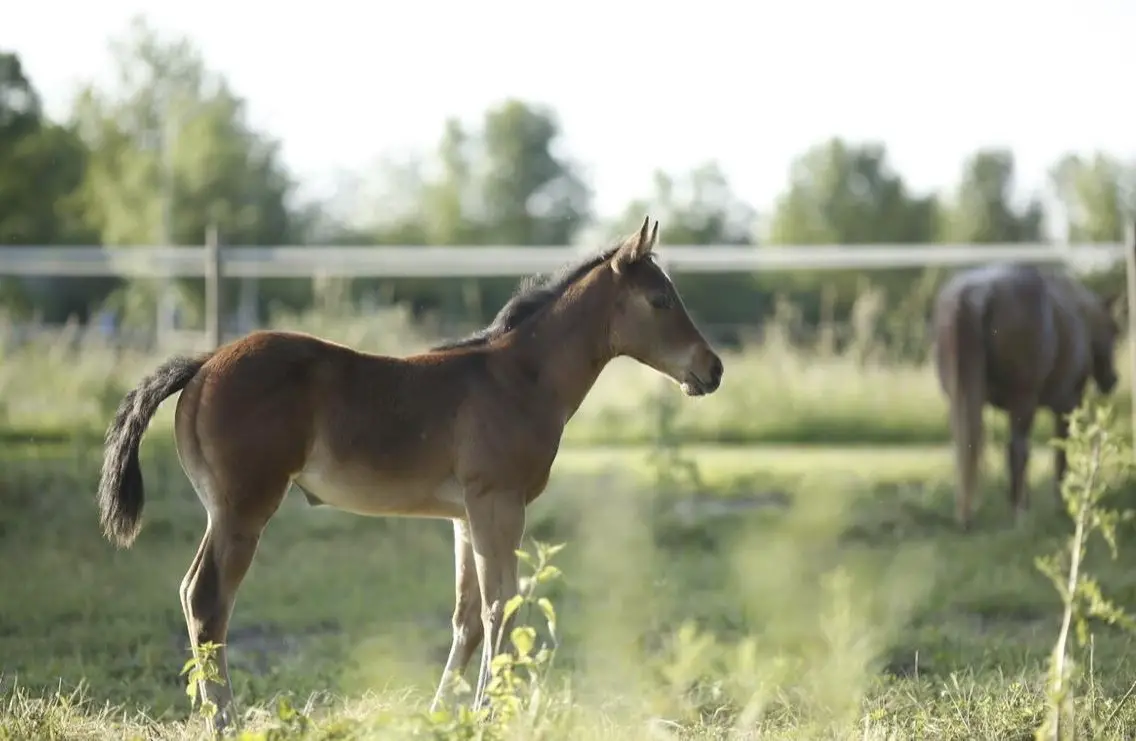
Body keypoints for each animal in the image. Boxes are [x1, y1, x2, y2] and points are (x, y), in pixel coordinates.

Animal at [95, 216, 724, 733]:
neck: (519, 378)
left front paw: (446, 712)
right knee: (207, 600)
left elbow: (468, 617)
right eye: (660, 299)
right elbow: (501, 606)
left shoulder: (466, 516)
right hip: (243, 508)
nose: (712, 368)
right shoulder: (499, 502)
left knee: (193, 595)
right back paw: (224, 720)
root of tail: (202, 363)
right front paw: (491, 712)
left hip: (225, 510)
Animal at [931, 262, 1121, 529]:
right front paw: (1060, 504)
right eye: (1114, 330)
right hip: (1024, 401)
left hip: (961, 400)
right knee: (1016, 451)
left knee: (967, 447)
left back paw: (971, 514)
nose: (1112, 380)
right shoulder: (1066, 405)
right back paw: (1019, 512)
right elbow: (1060, 452)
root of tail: (977, 294)